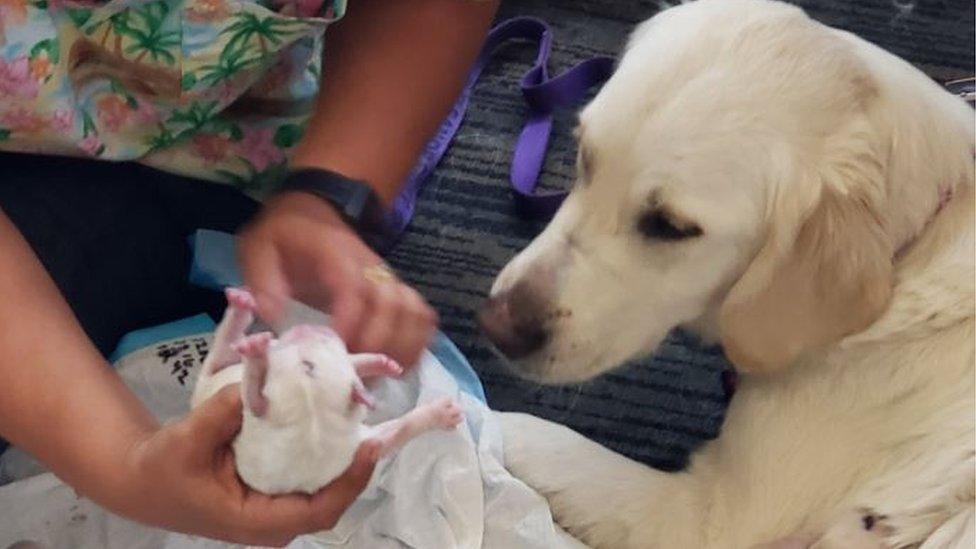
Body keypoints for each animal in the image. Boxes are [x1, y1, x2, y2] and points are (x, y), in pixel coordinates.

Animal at [193, 288, 468, 494]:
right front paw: (258, 357)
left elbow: (398, 430)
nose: (312, 328)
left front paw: (441, 414)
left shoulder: (355, 447)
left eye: (309, 364)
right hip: (213, 372)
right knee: (223, 349)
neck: (311, 422)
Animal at [480, 1, 976, 548]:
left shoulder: (707, 517)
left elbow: (527, 434)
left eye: (670, 226)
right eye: (585, 158)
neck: (914, 248)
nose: (496, 326)